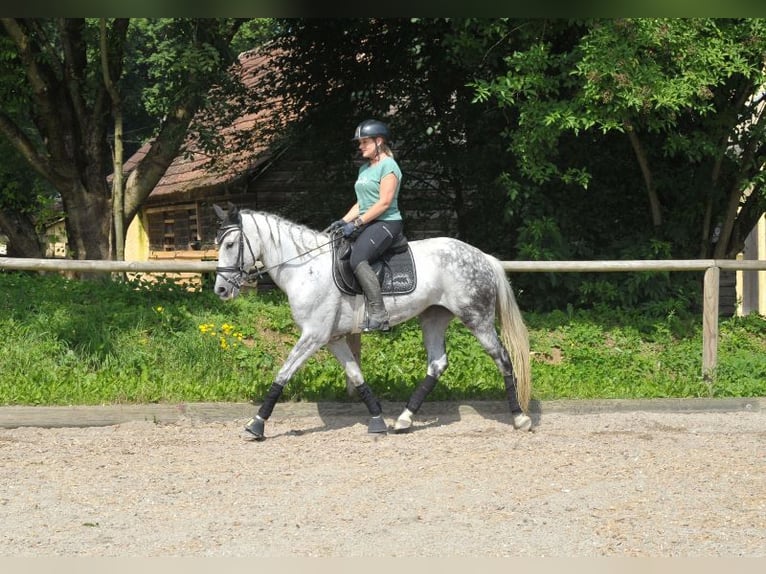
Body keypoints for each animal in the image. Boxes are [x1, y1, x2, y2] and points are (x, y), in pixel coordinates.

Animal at [213, 202, 532, 440]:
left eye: (230, 243)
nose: (221, 290)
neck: (305, 268)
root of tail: (483, 256)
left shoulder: (313, 335)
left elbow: (282, 374)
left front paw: (256, 424)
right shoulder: (332, 338)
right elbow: (356, 375)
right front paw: (377, 419)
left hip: (477, 318)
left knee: (503, 359)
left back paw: (520, 418)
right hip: (433, 317)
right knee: (437, 364)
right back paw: (404, 419)